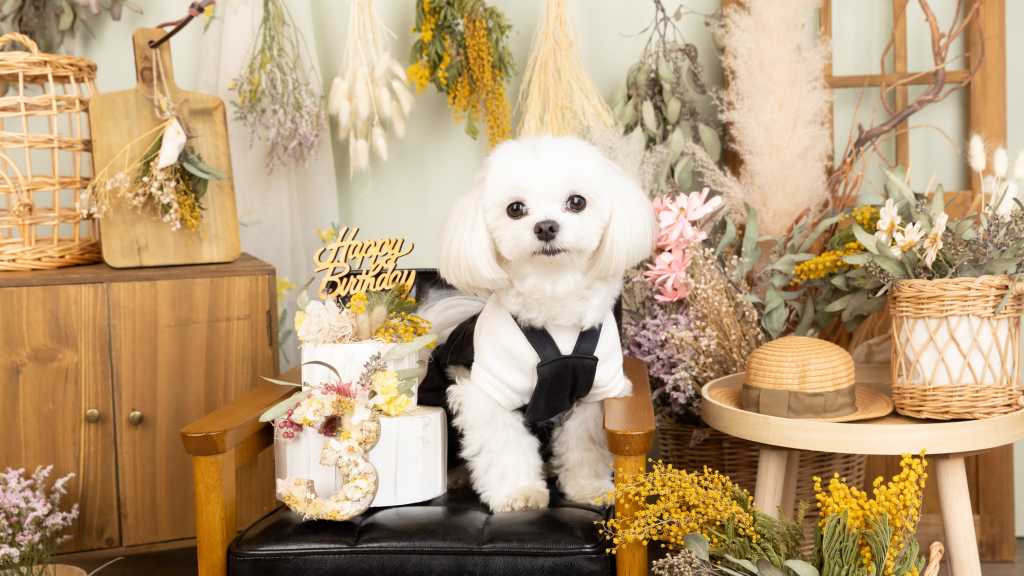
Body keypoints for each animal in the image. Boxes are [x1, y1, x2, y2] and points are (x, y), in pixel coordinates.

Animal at [419, 135, 655, 513]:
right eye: (515, 208)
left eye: (577, 202)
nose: (545, 227)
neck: (553, 294)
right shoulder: (489, 391)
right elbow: (504, 445)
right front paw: (519, 493)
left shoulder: (595, 391)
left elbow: (585, 445)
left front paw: (588, 488)